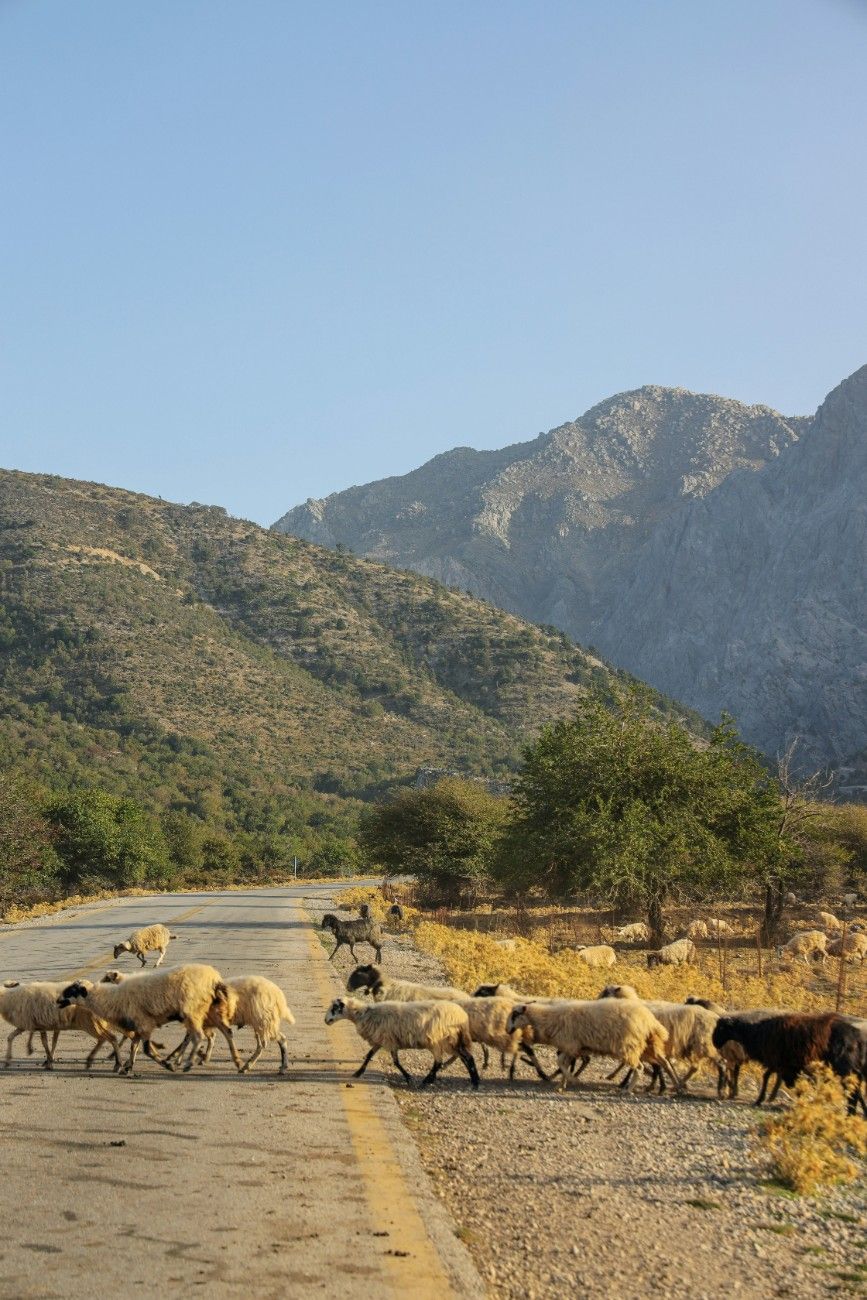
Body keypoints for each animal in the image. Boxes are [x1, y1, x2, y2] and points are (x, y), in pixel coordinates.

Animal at [59, 961, 232, 1071]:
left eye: (72, 990)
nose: (58, 1001)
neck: (112, 998)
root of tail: (214, 976)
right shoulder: (137, 1026)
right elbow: (134, 1045)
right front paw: (128, 1066)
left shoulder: (144, 1024)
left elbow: (146, 1049)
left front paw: (166, 1065)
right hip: (204, 1011)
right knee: (216, 1033)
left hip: (192, 1011)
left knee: (198, 1035)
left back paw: (185, 1062)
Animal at [323, 993, 478, 1086]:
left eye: (335, 1007)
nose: (326, 1020)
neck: (364, 1014)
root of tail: (461, 1015)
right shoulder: (381, 1040)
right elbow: (369, 1055)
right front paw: (358, 1072)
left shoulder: (389, 1041)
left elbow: (396, 1062)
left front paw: (408, 1077)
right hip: (452, 1041)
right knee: (466, 1058)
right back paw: (474, 1081)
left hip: (440, 1041)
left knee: (441, 1062)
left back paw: (427, 1081)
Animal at [504, 998, 675, 1092]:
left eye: (515, 1014)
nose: (507, 1030)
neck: (548, 1019)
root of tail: (649, 1020)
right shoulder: (570, 1048)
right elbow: (564, 1065)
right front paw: (561, 1085)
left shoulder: (569, 1044)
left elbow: (561, 1064)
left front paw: (573, 1080)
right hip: (649, 1045)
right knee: (663, 1062)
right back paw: (675, 1086)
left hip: (629, 1046)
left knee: (639, 1067)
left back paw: (628, 1090)